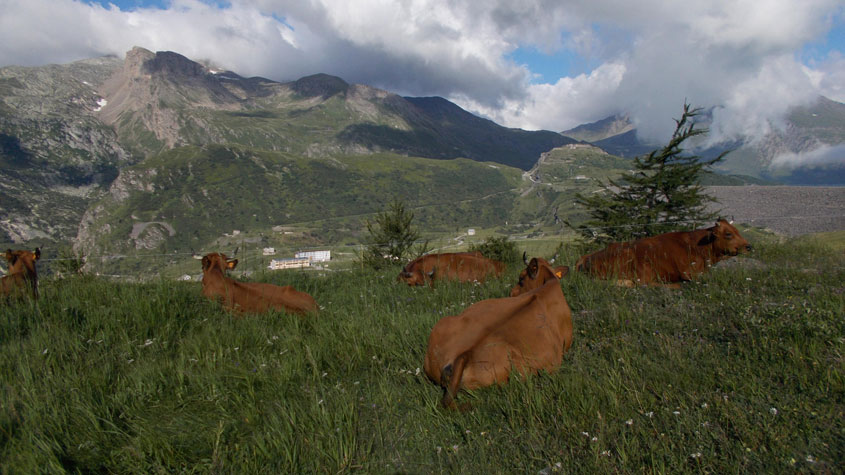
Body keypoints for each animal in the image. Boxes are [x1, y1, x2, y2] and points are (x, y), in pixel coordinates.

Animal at [572, 220, 752, 290]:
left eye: (737, 230)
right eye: (728, 234)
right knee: (645, 284)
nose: (749, 246)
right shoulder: (690, 273)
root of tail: (585, 258)